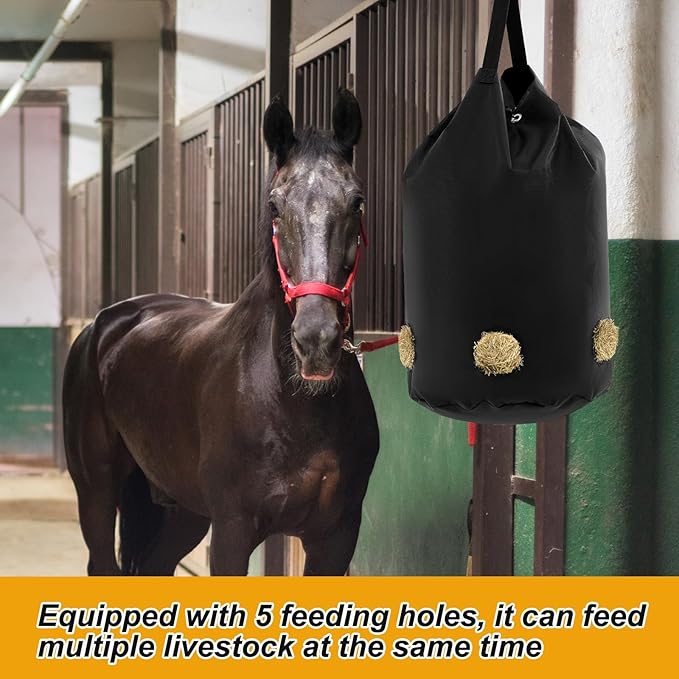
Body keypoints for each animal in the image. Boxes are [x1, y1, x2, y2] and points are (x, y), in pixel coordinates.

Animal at [62, 88, 380, 576]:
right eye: (274, 205)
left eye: (357, 201)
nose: (316, 341)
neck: (292, 402)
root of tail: (104, 325)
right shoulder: (232, 531)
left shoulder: (336, 536)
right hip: (96, 492)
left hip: (182, 510)